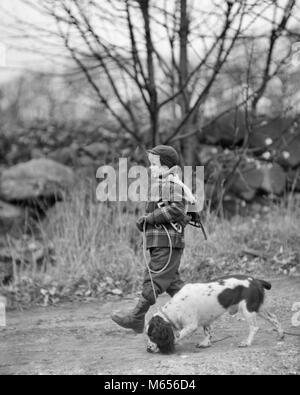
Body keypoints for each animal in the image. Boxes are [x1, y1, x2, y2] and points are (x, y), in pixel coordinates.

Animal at [146, 276, 284, 356]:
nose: (148, 349)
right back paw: (281, 335)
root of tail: (255, 280)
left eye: (152, 335)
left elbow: (179, 335)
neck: (175, 308)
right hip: (259, 308)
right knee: (274, 318)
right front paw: (206, 343)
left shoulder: (191, 325)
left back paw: (246, 342)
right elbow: (208, 331)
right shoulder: (206, 320)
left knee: (254, 327)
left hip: (247, 309)